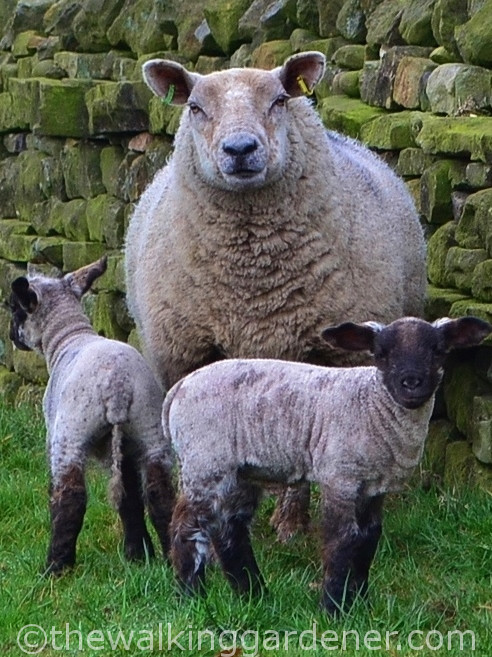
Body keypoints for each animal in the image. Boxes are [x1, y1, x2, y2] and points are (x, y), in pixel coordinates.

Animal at [8, 257, 175, 574]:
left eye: (12, 307)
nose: (11, 338)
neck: (68, 338)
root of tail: (118, 385)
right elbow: (130, 494)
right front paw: (139, 553)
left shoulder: (54, 436)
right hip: (149, 429)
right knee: (158, 493)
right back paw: (165, 556)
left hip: (71, 434)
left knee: (70, 498)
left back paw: (55, 568)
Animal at [125, 51, 427, 541]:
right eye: (195, 107)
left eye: (280, 100)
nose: (240, 149)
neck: (253, 285)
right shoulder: (183, 355)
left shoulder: (328, 355)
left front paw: (291, 525)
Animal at [163, 316, 491, 613]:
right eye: (381, 354)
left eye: (438, 350)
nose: (411, 383)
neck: (373, 404)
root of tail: (180, 387)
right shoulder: (339, 476)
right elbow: (341, 538)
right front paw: (333, 608)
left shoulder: (373, 485)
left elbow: (369, 538)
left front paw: (361, 605)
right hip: (206, 462)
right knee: (188, 527)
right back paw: (191, 598)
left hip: (241, 471)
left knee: (229, 529)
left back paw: (254, 595)